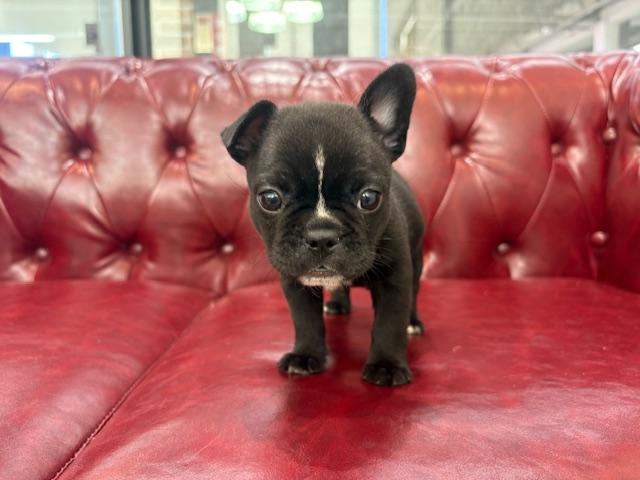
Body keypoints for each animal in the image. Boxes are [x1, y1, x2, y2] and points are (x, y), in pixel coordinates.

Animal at [221, 64, 424, 387]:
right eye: (270, 199)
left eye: (369, 198)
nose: (321, 235)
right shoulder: (295, 283)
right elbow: (306, 321)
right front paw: (306, 355)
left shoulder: (395, 279)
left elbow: (390, 323)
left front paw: (387, 365)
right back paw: (338, 304)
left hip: (416, 261)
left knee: (414, 294)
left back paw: (413, 322)